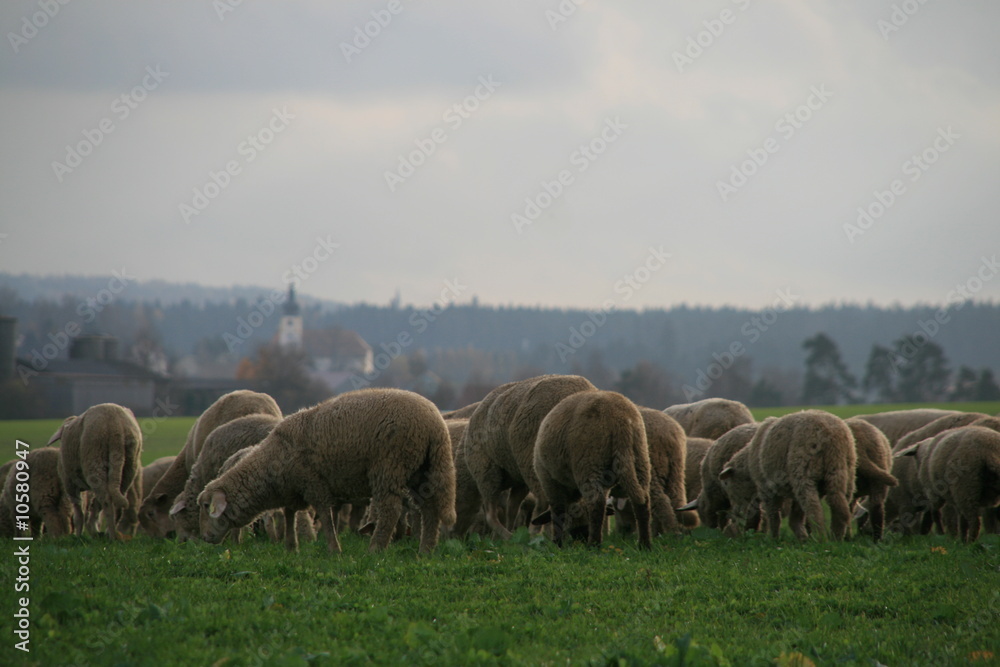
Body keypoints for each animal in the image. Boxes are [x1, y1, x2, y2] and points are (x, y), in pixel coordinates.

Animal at [48, 403, 143, 539]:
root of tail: (116, 426)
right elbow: (95, 507)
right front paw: (93, 529)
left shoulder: (69, 483)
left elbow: (79, 512)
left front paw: (79, 535)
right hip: (129, 464)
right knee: (116, 500)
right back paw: (110, 532)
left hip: (95, 459)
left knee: (107, 500)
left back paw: (112, 535)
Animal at [197, 388, 456, 555]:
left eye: (207, 506)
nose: (205, 538)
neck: (270, 464)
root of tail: (435, 423)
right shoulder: (293, 490)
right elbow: (290, 515)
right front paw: (291, 548)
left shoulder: (314, 483)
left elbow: (324, 515)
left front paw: (334, 549)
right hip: (422, 469)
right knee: (429, 508)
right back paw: (425, 550)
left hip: (391, 465)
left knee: (391, 510)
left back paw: (375, 549)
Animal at [464, 375, 596, 539]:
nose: (583, 539)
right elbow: (543, 503)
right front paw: (535, 533)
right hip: (487, 472)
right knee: (491, 514)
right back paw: (511, 536)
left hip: (518, 474)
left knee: (511, 509)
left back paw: (507, 537)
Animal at [532, 390, 652, 548]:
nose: (581, 536)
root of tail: (621, 419)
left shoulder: (549, 481)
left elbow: (558, 512)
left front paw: (557, 544)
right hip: (639, 458)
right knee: (642, 501)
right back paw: (644, 544)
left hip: (590, 461)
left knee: (596, 504)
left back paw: (594, 545)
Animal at [722, 410, 856, 541]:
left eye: (727, 484)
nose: (735, 513)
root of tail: (830, 433)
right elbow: (795, 517)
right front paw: (802, 538)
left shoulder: (767, 488)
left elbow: (774, 515)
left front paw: (773, 538)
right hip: (843, 471)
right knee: (839, 502)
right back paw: (837, 537)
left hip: (803, 471)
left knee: (813, 506)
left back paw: (820, 537)